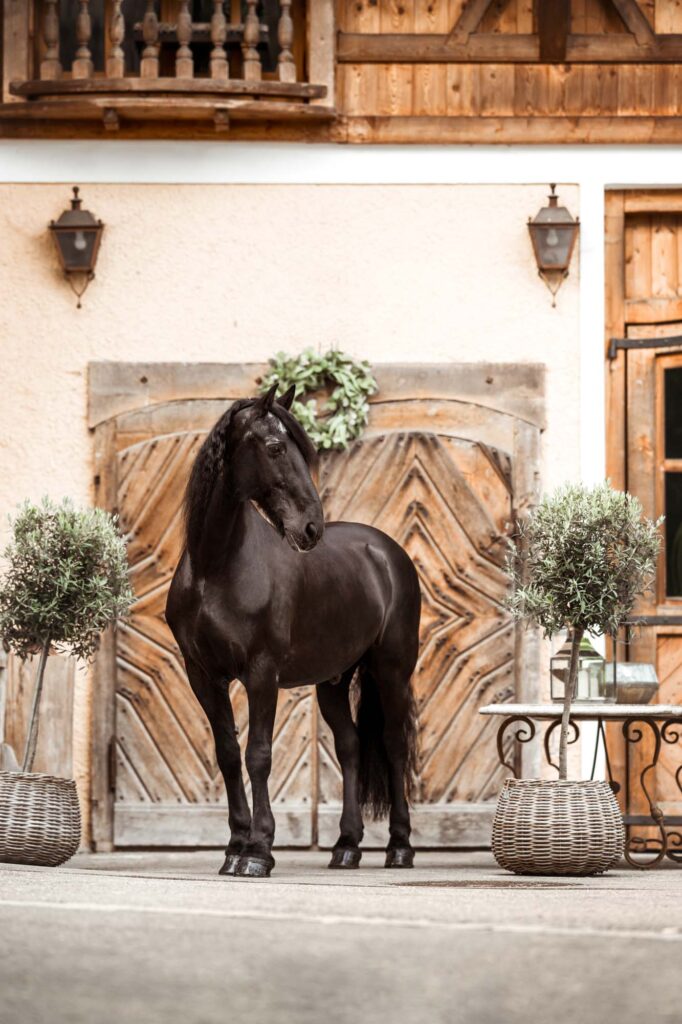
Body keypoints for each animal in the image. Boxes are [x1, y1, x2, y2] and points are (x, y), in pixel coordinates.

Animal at [166, 384, 421, 878]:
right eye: (275, 447)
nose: (310, 528)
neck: (215, 569)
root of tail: (386, 552)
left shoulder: (262, 673)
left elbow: (259, 755)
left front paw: (259, 851)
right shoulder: (202, 676)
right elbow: (228, 754)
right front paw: (234, 847)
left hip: (391, 671)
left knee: (394, 746)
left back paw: (400, 847)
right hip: (333, 681)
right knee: (350, 747)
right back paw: (346, 846)